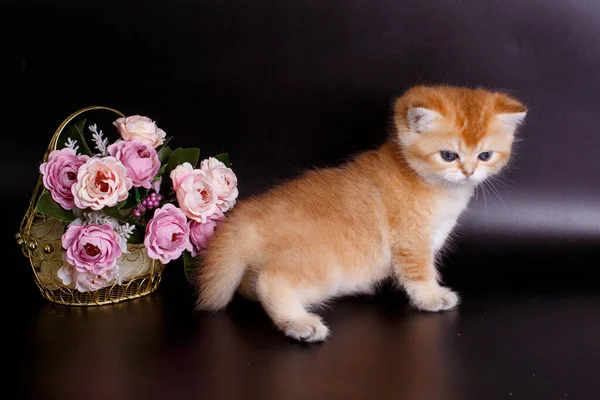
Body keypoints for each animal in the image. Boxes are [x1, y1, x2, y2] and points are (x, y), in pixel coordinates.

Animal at [192, 84, 524, 340]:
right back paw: (299, 324)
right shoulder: (411, 241)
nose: (468, 172)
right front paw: (432, 297)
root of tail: (244, 217)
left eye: (485, 155)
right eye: (448, 155)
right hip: (322, 266)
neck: (427, 183)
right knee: (270, 282)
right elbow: (419, 273)